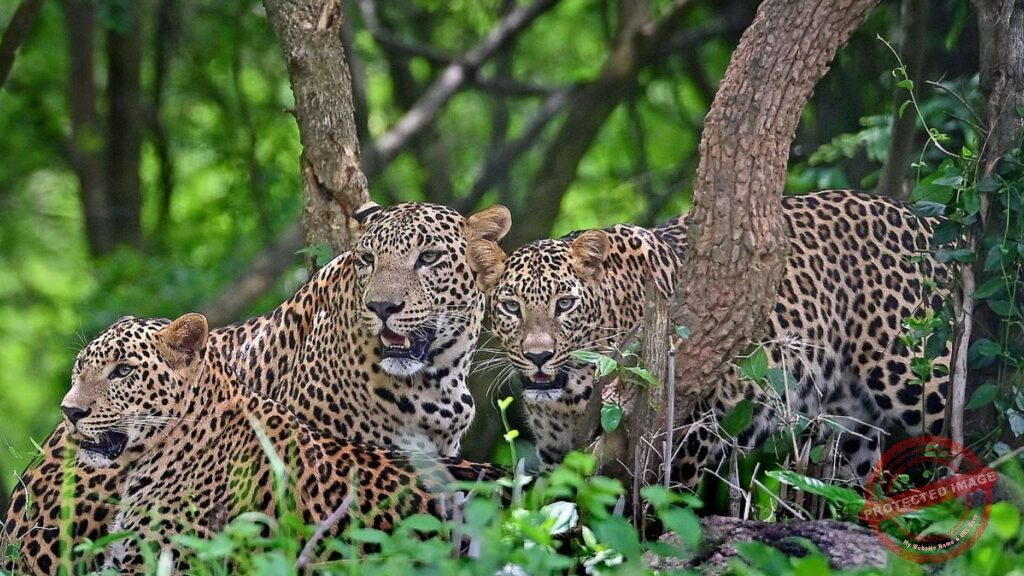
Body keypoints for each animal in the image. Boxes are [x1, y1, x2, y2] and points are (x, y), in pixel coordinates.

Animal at [481, 190, 950, 487]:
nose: (538, 357)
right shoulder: (557, 453)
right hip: (850, 422)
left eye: (564, 304)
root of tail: (924, 216)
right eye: (511, 307)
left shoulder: (690, 427)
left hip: (918, 380)